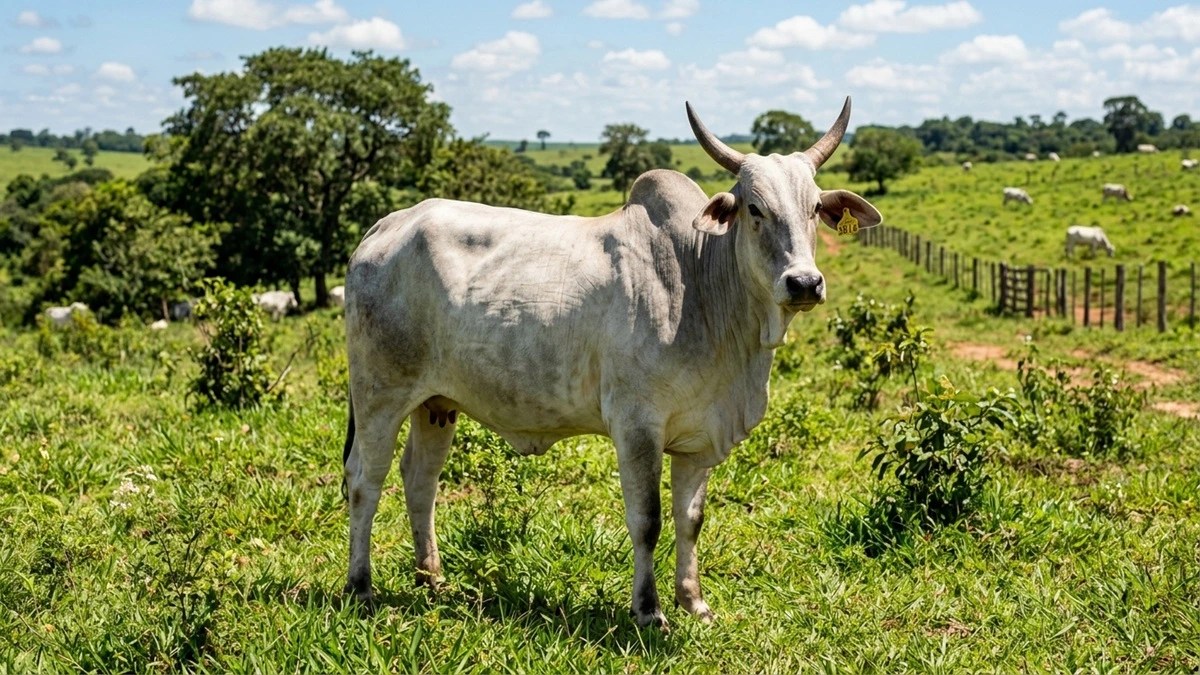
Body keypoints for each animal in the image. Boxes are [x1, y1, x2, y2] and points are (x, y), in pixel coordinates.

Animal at [340, 97, 882, 628]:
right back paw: (361, 588)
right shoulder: (636, 426)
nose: (804, 282)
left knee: (420, 480)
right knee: (365, 481)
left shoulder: (699, 438)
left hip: (436, 403)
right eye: (755, 208)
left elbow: (691, 520)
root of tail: (387, 226)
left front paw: (694, 602)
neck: (702, 286)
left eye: (815, 208)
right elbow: (648, 520)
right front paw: (649, 609)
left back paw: (432, 580)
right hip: (379, 396)